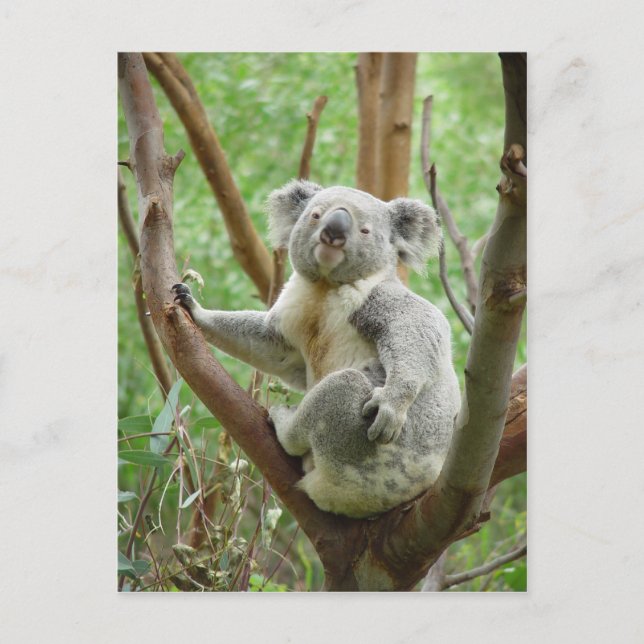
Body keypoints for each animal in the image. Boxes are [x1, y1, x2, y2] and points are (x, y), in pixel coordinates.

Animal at [172, 179, 461, 518]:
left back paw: (285, 422)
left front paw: (391, 404)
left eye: (364, 230)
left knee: (342, 391)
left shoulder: (379, 299)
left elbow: (418, 327)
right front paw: (192, 308)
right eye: (315, 214)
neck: (326, 288)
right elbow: (271, 348)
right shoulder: (291, 320)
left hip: (372, 451)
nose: (333, 231)